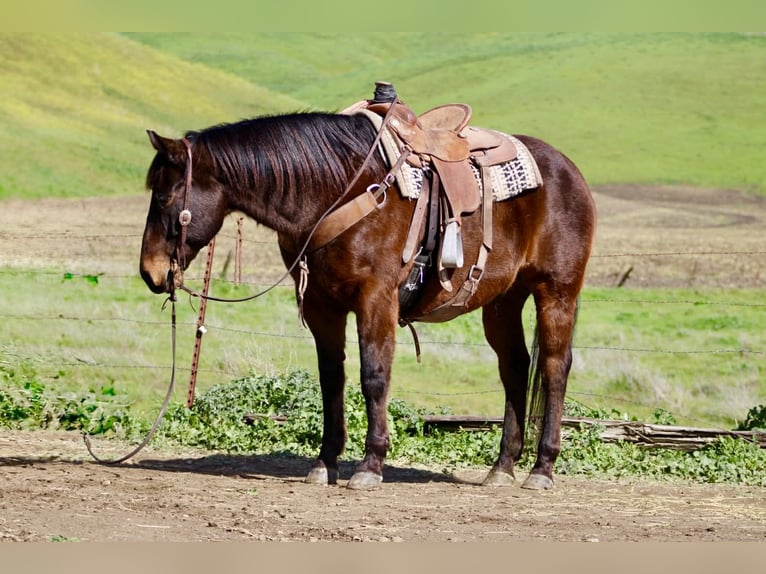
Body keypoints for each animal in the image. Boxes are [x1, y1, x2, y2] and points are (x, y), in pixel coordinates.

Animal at [139, 93, 597, 491]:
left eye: (165, 195)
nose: (150, 272)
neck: (338, 187)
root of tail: (569, 170)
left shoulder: (376, 297)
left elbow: (374, 375)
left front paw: (370, 464)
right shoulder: (322, 306)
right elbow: (331, 379)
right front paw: (325, 463)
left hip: (556, 292)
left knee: (554, 367)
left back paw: (542, 468)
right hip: (502, 302)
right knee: (515, 367)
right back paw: (502, 467)